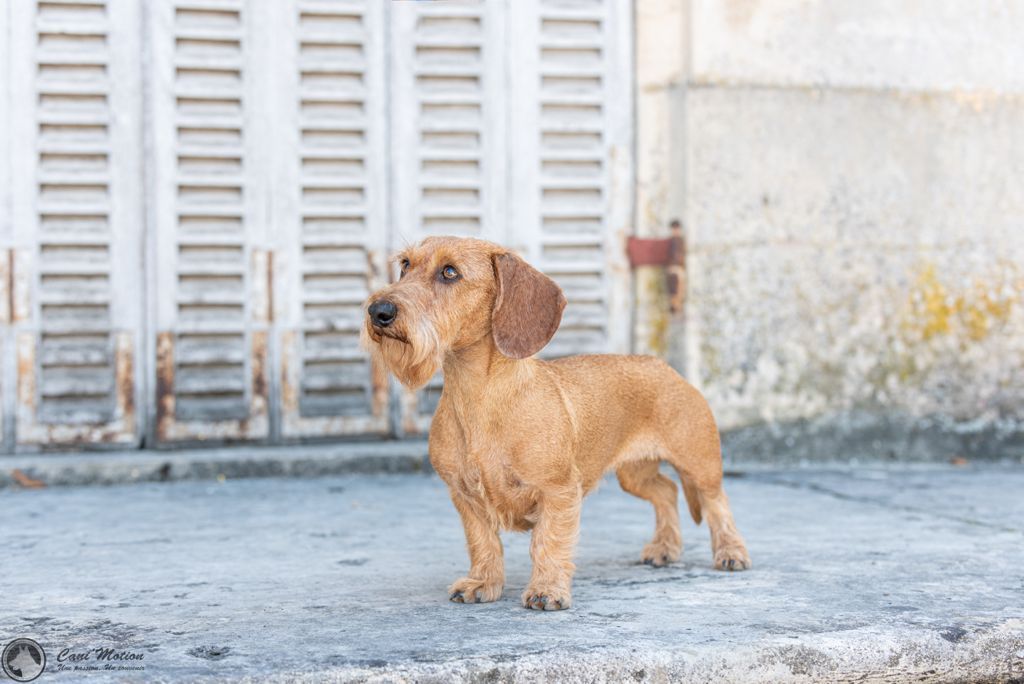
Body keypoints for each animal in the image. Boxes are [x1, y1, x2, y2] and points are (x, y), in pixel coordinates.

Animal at [364, 235, 749, 610]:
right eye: (405, 265)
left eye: (449, 272)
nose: (377, 310)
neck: (479, 396)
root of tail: (667, 368)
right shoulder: (464, 496)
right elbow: (483, 542)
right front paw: (482, 583)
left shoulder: (558, 492)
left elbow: (547, 543)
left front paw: (547, 590)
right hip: (635, 473)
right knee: (666, 491)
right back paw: (664, 548)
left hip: (699, 464)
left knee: (717, 502)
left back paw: (730, 552)